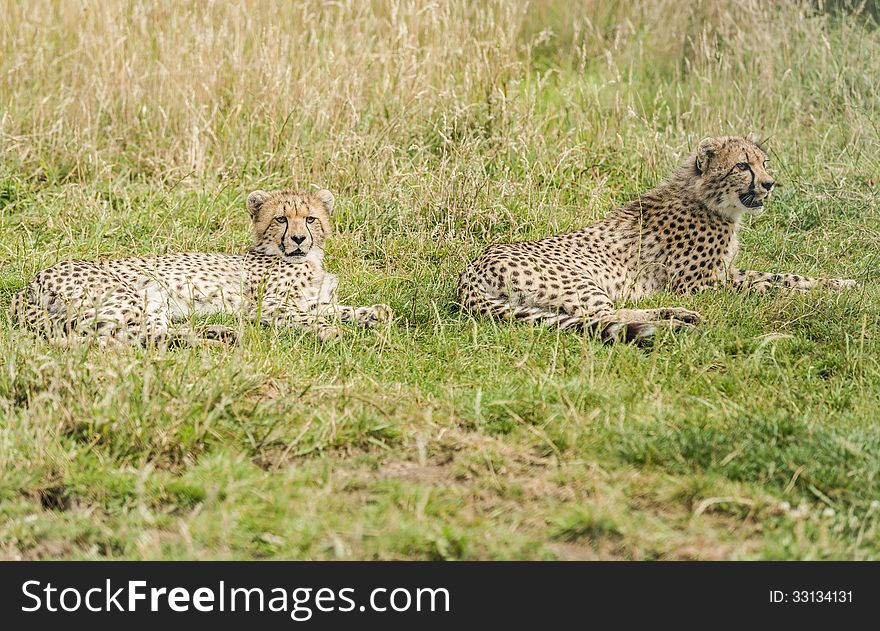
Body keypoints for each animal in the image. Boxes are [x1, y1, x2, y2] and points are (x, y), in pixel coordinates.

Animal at [11, 188, 392, 346]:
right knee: (126, 336)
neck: (307, 261)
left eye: (311, 219)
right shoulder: (267, 306)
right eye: (281, 219)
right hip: (129, 295)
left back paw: (218, 333)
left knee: (147, 334)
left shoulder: (314, 301)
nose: (298, 239)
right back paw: (217, 339)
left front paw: (373, 313)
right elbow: (312, 318)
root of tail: (34, 278)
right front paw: (332, 333)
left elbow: (341, 309)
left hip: (152, 300)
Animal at [460, 135, 860, 344]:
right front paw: (817, 294)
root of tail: (468, 272)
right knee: (606, 315)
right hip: (580, 280)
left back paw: (677, 315)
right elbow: (767, 286)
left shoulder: (723, 273)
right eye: (742, 166)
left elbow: (784, 275)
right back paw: (674, 324)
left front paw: (842, 284)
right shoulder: (702, 284)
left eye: (764, 162)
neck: (707, 200)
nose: (769, 184)